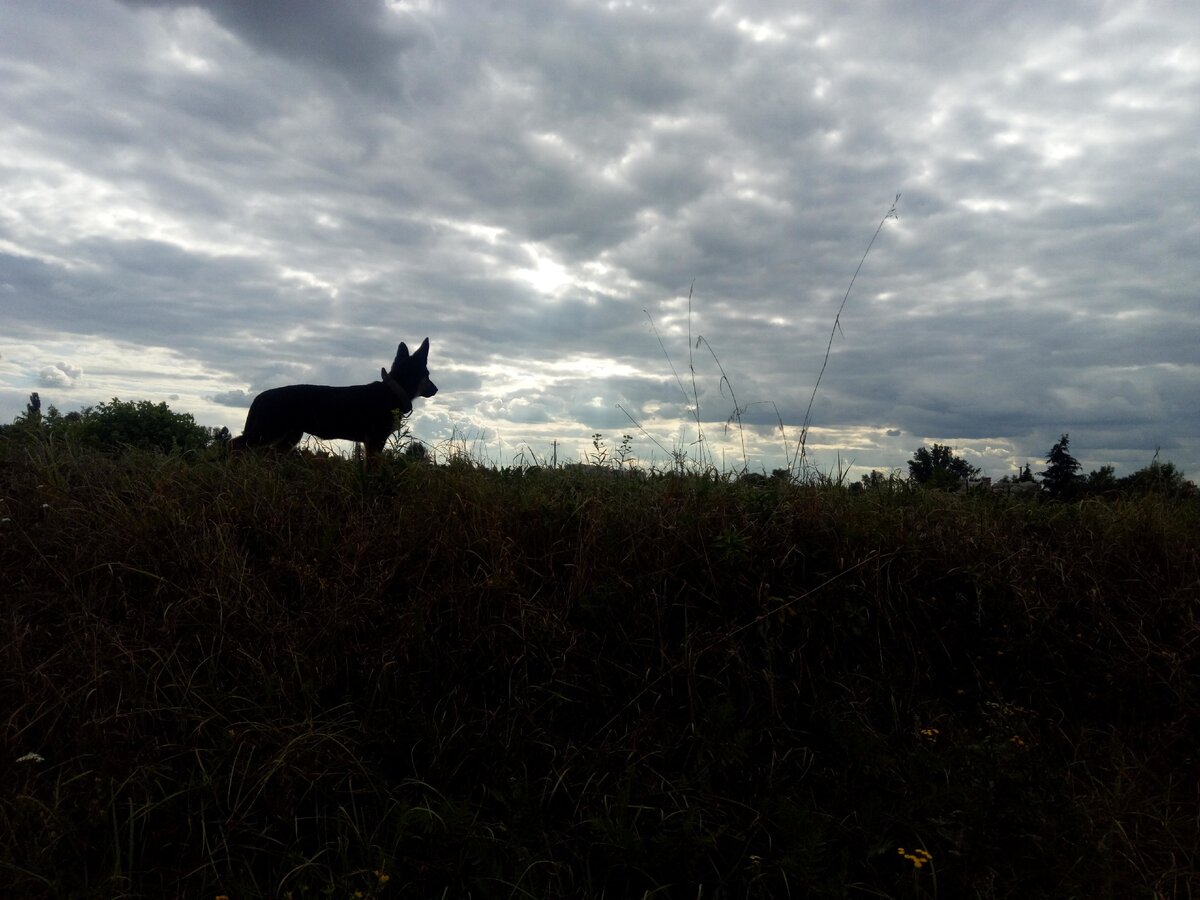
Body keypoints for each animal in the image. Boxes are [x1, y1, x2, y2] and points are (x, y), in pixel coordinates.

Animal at [229, 340, 436, 460]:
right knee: (234, 445)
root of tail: (260, 396)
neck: (392, 390)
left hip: (288, 437)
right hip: (267, 431)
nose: (436, 390)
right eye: (427, 375)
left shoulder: (369, 442)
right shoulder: (375, 440)